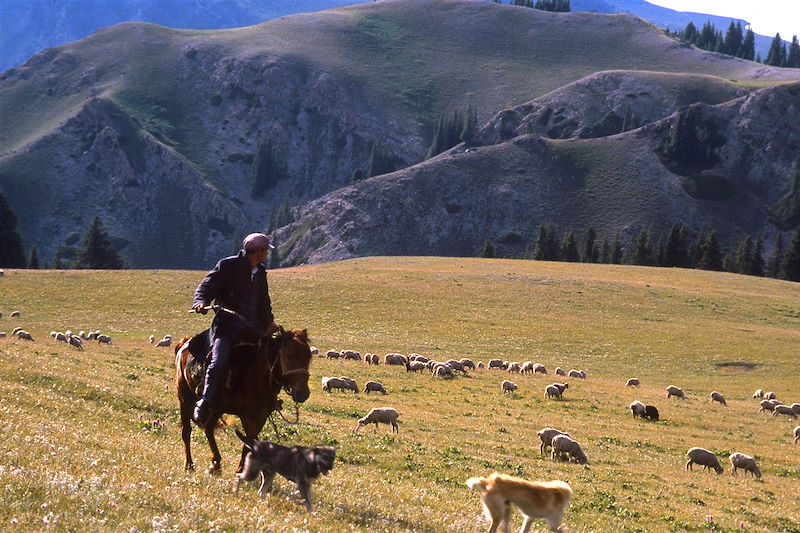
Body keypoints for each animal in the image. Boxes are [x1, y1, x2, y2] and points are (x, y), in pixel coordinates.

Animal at [175, 326, 312, 472]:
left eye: (308, 357)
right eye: (289, 356)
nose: (303, 393)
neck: (258, 376)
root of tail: (184, 343)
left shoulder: (261, 416)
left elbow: (252, 441)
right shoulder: (246, 415)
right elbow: (248, 441)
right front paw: (241, 470)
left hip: (217, 407)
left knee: (208, 427)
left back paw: (215, 462)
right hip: (185, 399)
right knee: (187, 431)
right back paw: (189, 464)